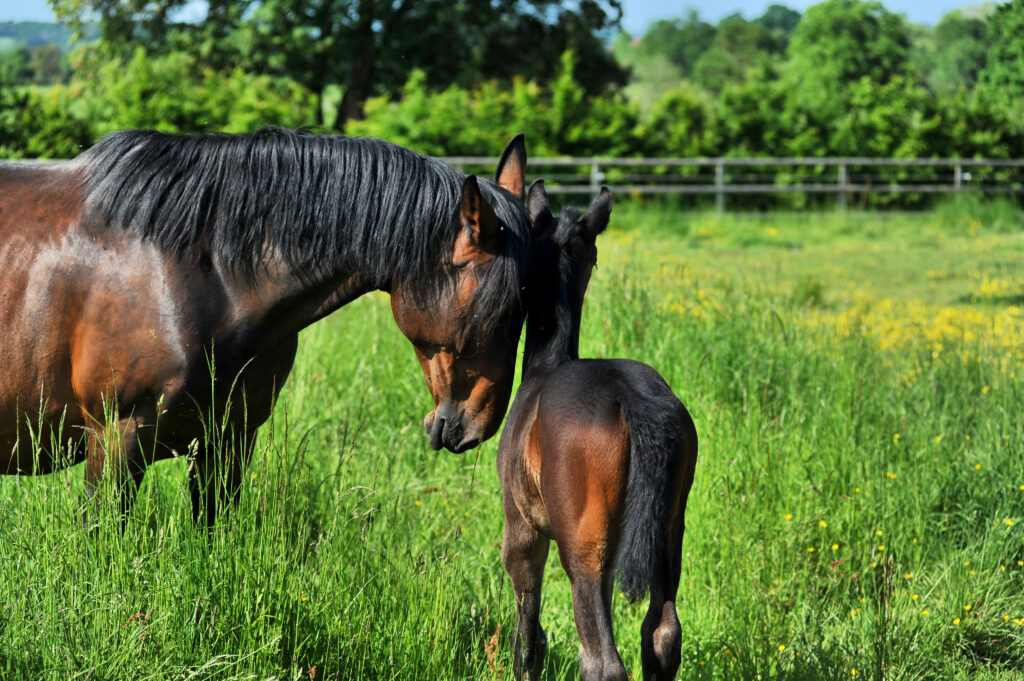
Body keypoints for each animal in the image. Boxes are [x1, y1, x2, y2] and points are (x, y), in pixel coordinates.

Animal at [495, 184, 696, 679]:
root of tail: (630, 399)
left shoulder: (522, 532)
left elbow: (527, 630)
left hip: (583, 552)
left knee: (601, 659)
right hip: (666, 538)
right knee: (663, 634)